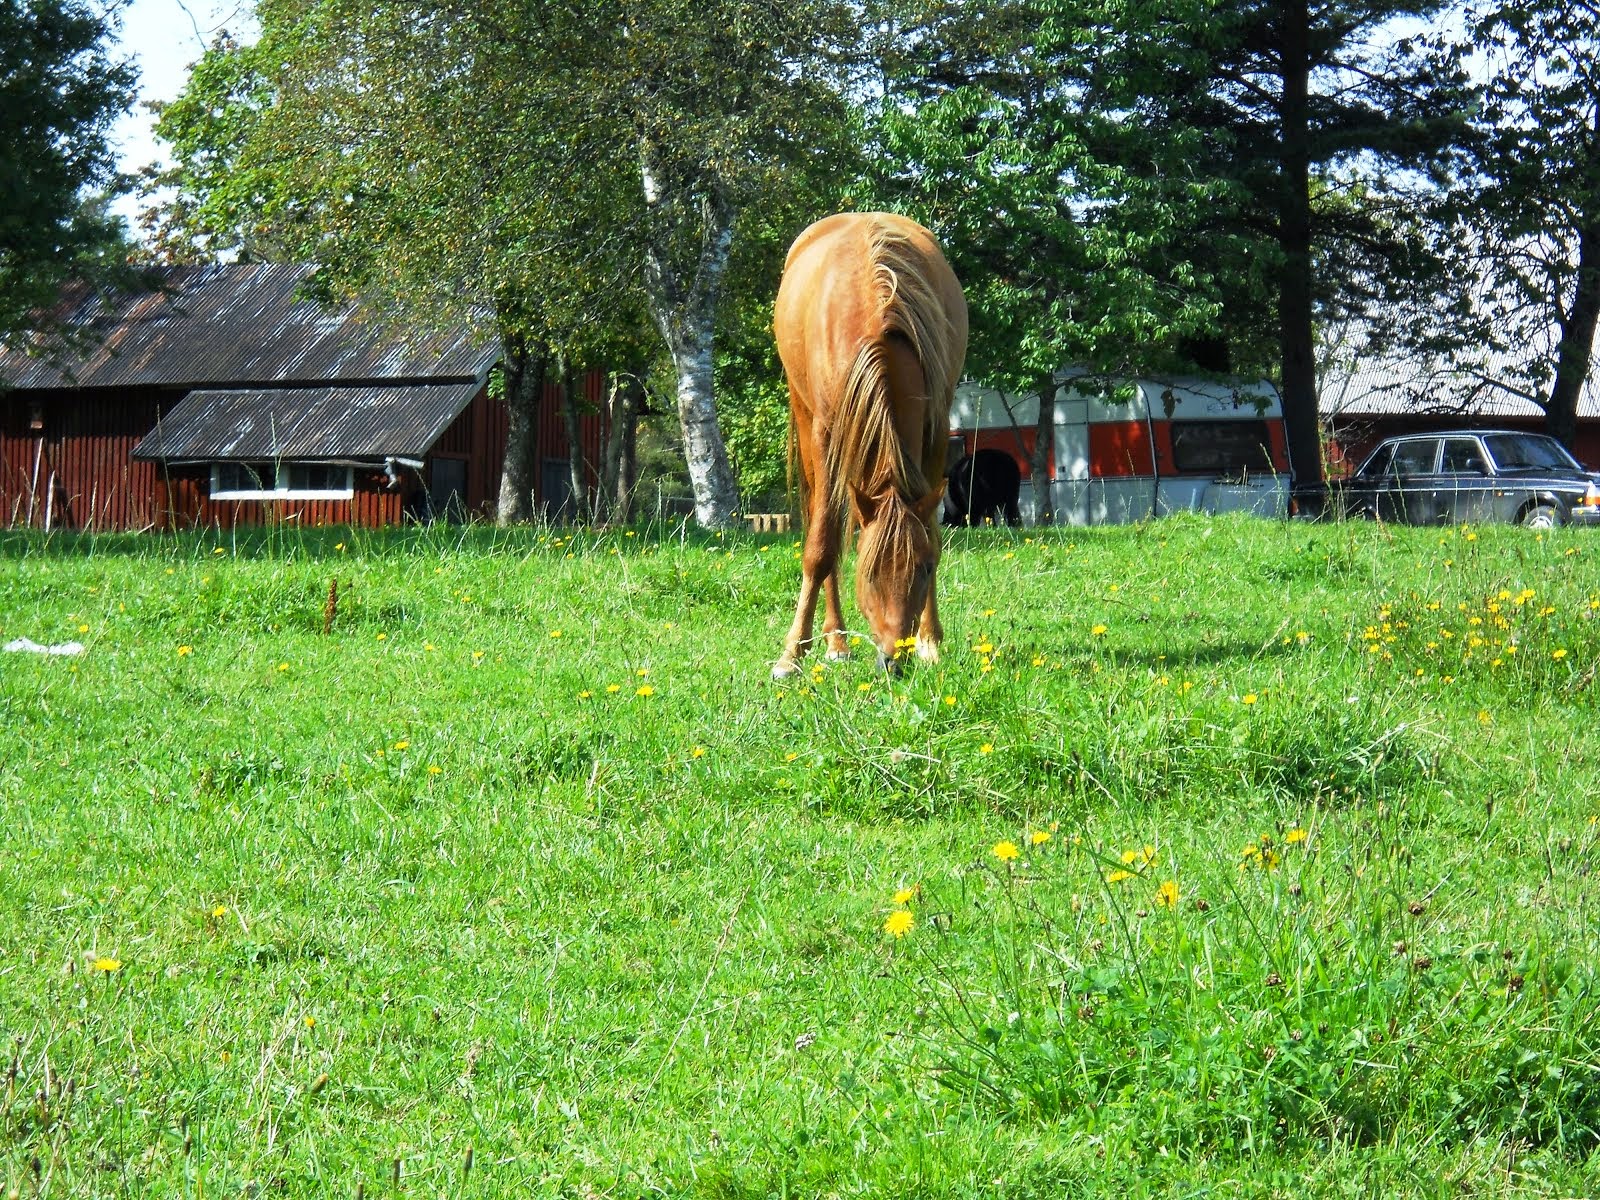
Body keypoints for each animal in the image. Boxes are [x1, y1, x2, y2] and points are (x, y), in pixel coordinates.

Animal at [768, 214, 966, 678]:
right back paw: (835, 640)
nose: (895, 660)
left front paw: (931, 641)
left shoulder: (937, 429)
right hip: (806, 422)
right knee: (822, 522)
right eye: (870, 573)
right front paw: (792, 652)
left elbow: (932, 533)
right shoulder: (826, 435)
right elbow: (821, 546)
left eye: (924, 569)